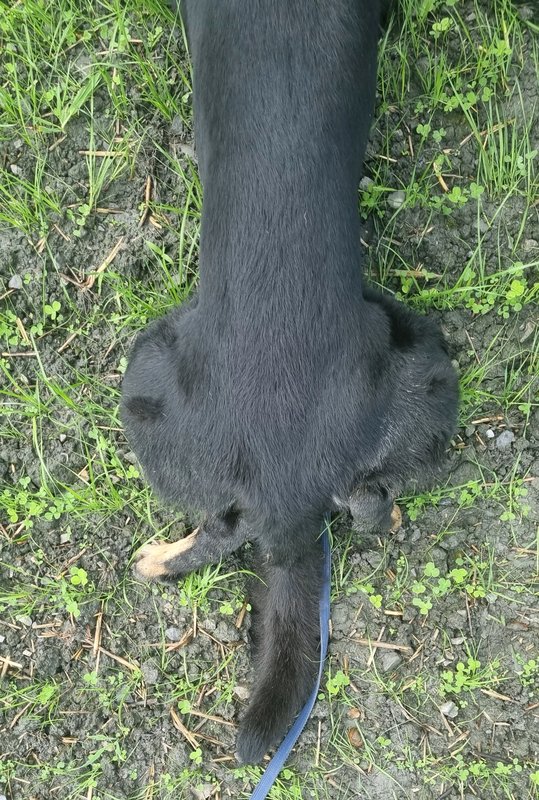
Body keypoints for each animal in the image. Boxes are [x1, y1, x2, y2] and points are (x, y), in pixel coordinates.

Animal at [121, 0, 459, 764]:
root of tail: (292, 492)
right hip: (429, 373)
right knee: (369, 505)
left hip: (142, 378)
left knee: (222, 529)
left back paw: (158, 561)